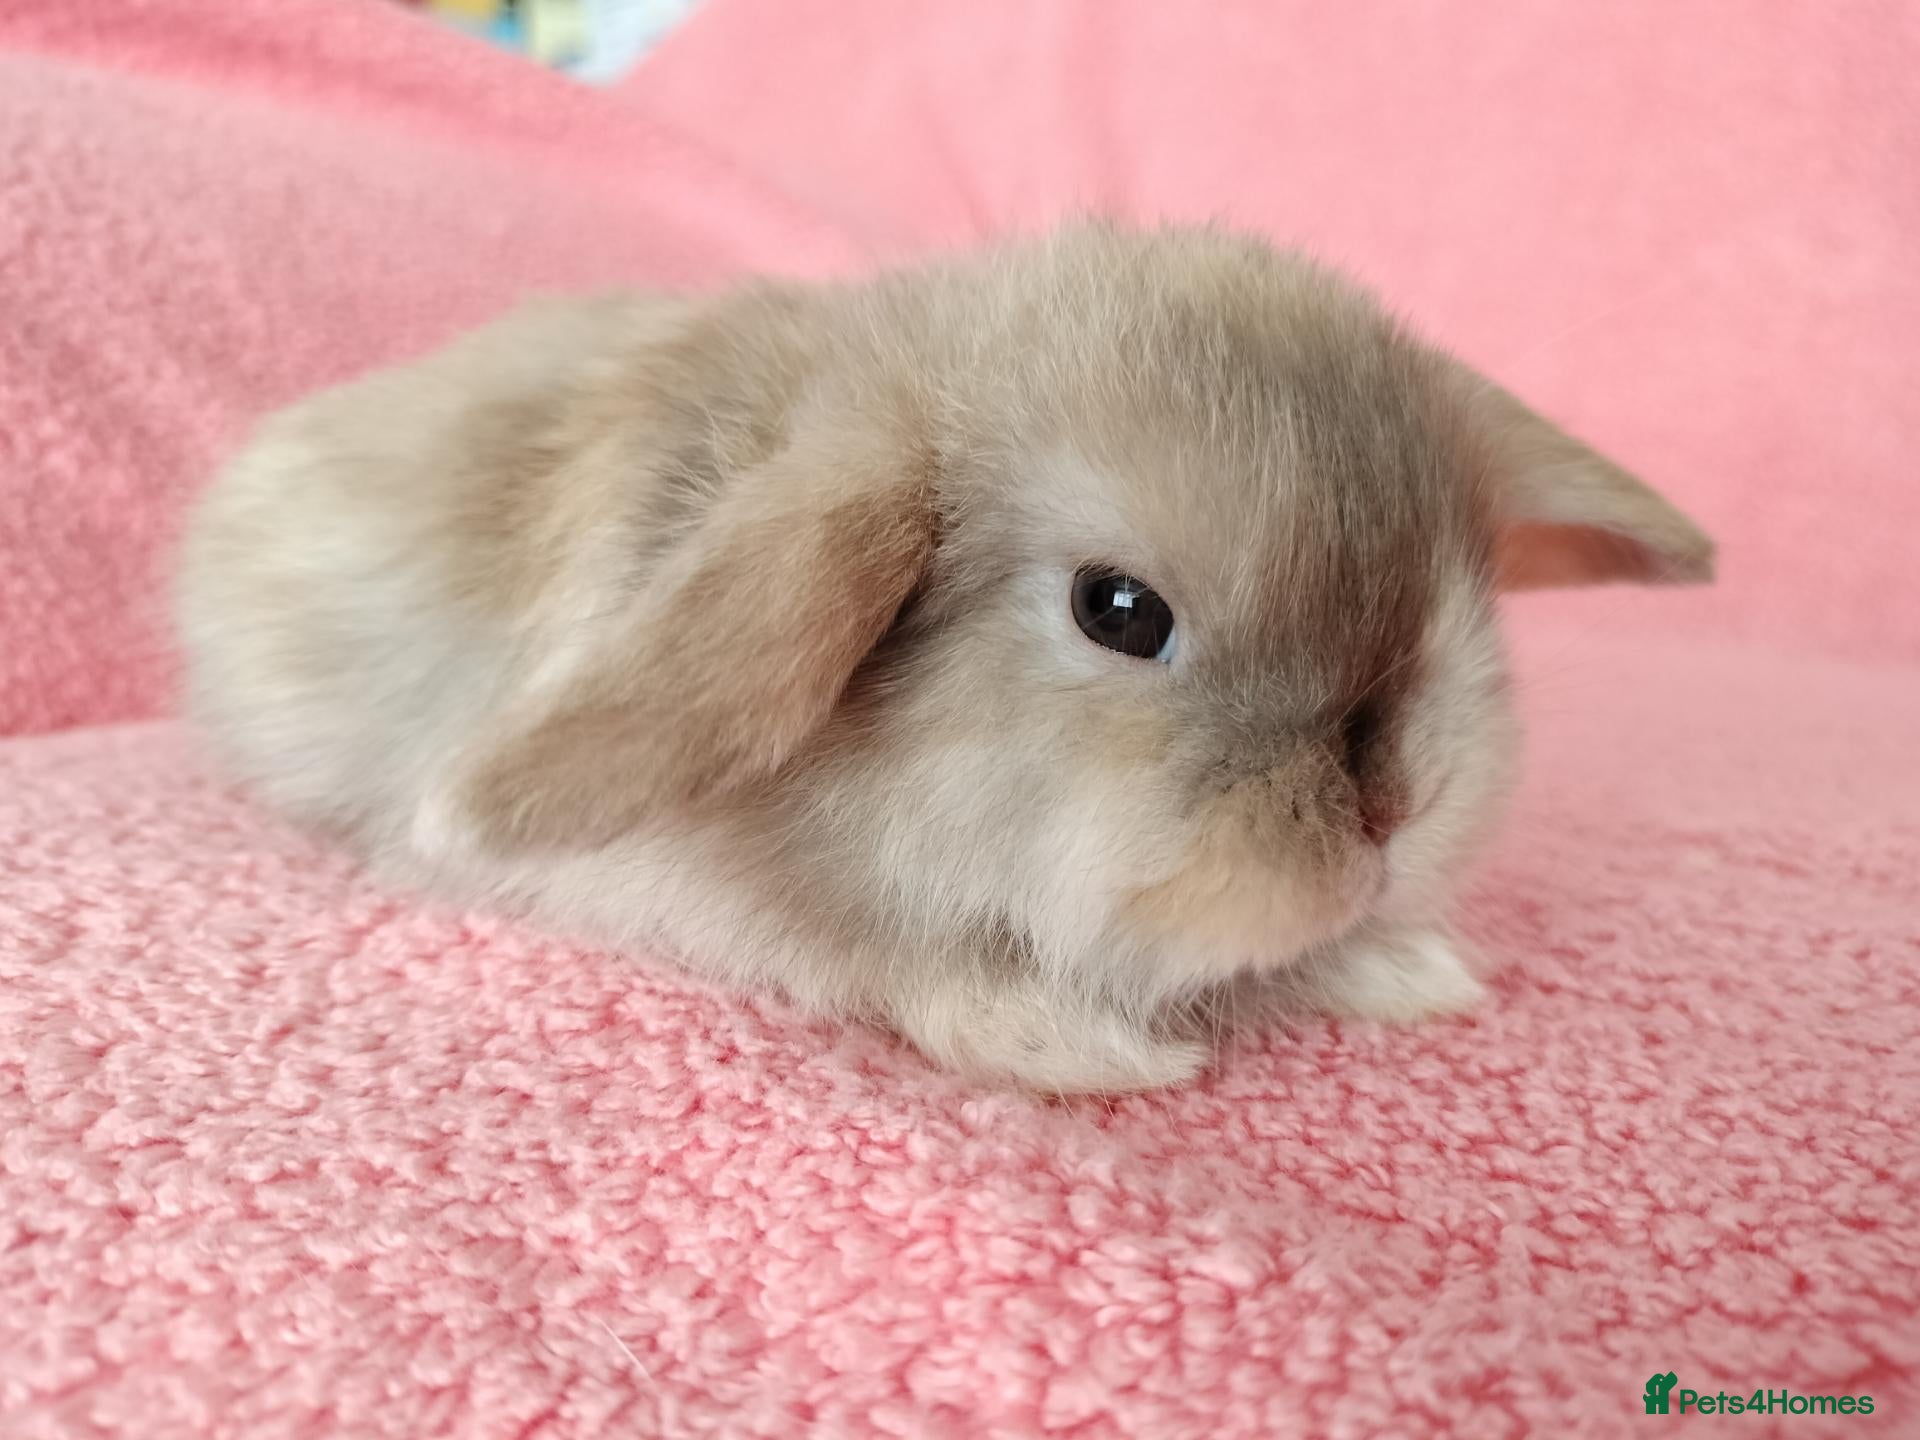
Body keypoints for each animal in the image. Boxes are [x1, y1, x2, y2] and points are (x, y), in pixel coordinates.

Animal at [176, 222, 1714, 1093]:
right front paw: (1094, 1056)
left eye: (1455, 588)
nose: (1392, 808)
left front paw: (1406, 968)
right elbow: (903, 970)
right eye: (1119, 611)